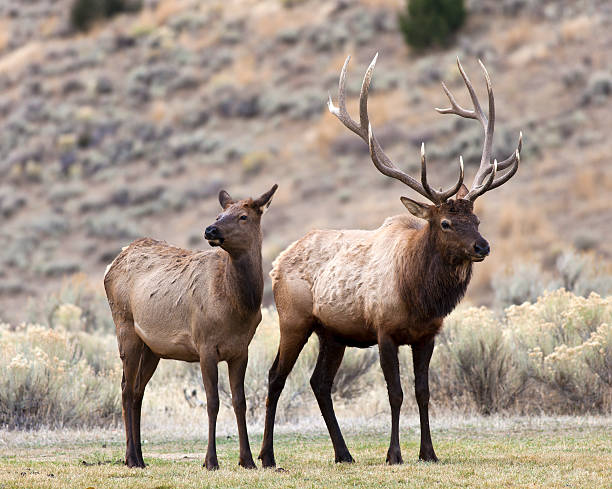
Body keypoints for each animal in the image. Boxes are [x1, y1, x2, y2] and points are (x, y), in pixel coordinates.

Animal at [104, 184, 278, 468]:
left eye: (243, 216)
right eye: (220, 214)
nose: (210, 229)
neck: (239, 306)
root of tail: (112, 263)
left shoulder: (241, 350)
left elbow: (239, 401)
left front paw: (247, 460)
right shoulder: (205, 345)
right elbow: (213, 402)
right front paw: (211, 461)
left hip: (152, 348)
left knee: (139, 391)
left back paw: (140, 457)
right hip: (125, 327)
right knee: (126, 389)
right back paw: (130, 458)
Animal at [258, 55, 520, 468]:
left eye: (477, 219)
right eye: (445, 222)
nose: (482, 247)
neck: (419, 295)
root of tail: (278, 261)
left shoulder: (427, 335)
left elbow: (423, 392)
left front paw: (429, 452)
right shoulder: (384, 330)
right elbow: (395, 393)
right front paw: (394, 454)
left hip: (332, 332)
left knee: (320, 383)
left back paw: (344, 453)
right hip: (294, 319)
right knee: (275, 376)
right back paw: (266, 456)